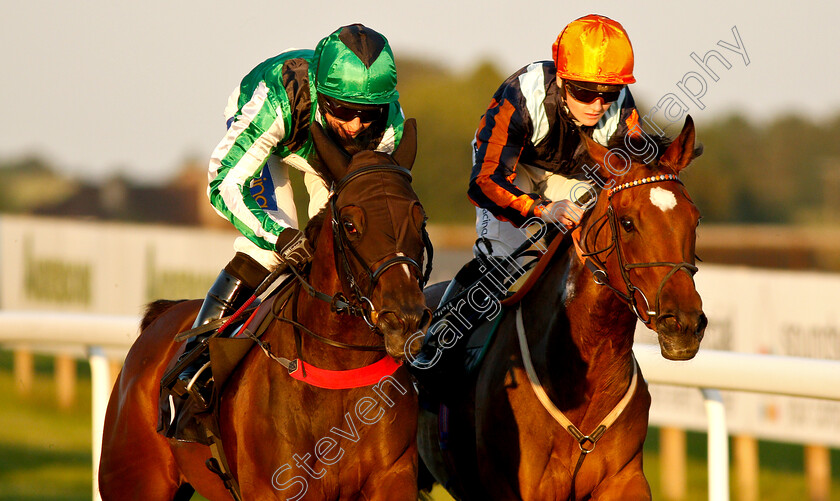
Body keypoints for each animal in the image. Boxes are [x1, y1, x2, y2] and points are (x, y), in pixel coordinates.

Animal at [100, 119, 434, 498]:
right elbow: (227, 185)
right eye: (350, 224)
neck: (339, 371)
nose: (406, 318)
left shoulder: (393, 477)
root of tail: (162, 315)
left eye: (420, 220)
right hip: (133, 479)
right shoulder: (279, 487)